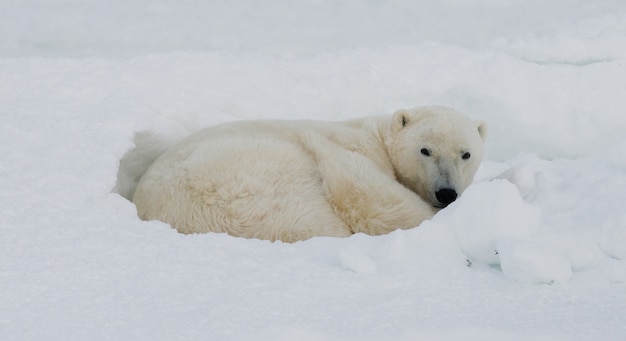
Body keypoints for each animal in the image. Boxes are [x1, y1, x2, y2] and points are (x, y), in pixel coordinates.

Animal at [130, 105, 482, 240]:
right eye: (425, 150)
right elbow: (376, 201)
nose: (446, 192)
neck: (377, 138)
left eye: (466, 153)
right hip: (262, 179)